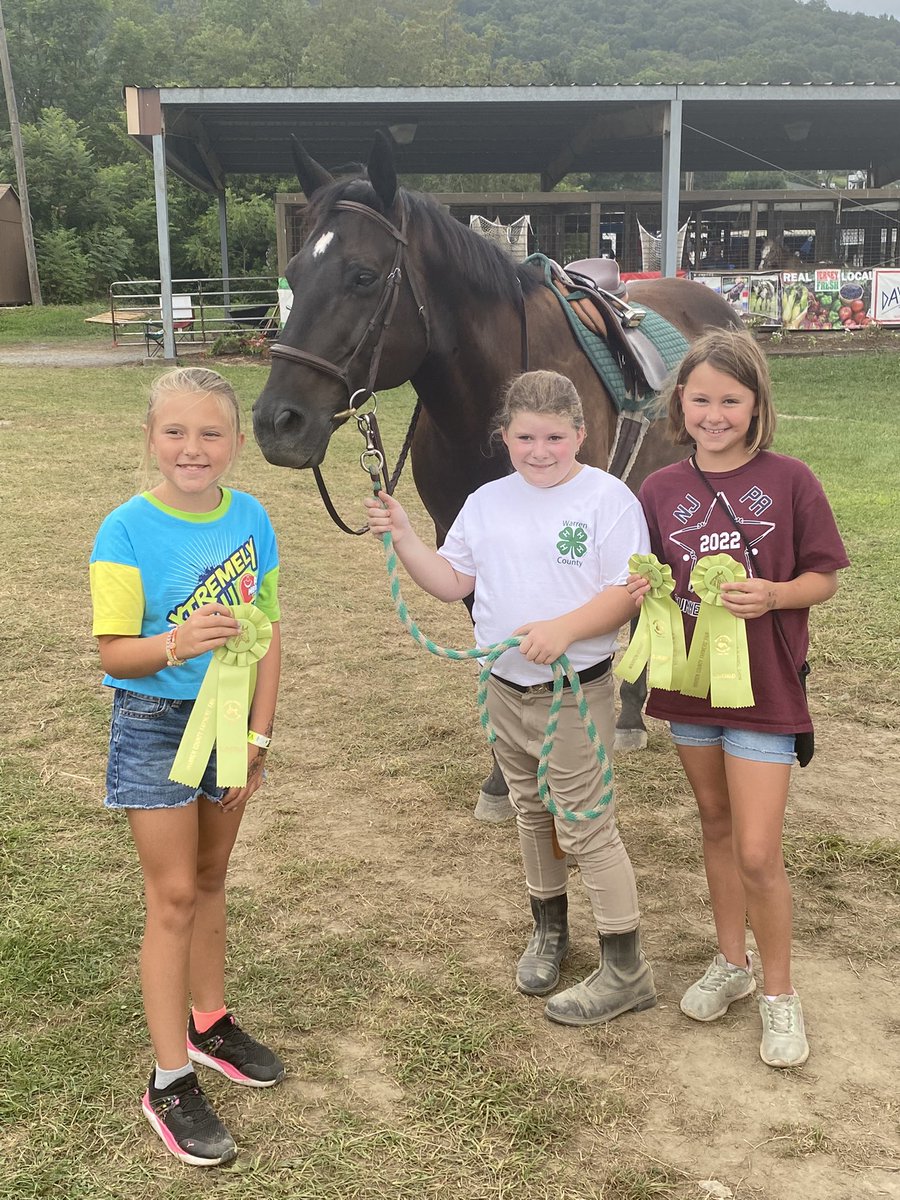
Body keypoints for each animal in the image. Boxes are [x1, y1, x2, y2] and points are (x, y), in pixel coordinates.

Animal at [252, 132, 742, 820]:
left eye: (363, 276)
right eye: (293, 276)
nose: (278, 422)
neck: (494, 402)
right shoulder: (458, 539)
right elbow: (494, 647)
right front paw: (501, 778)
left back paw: (628, 715)